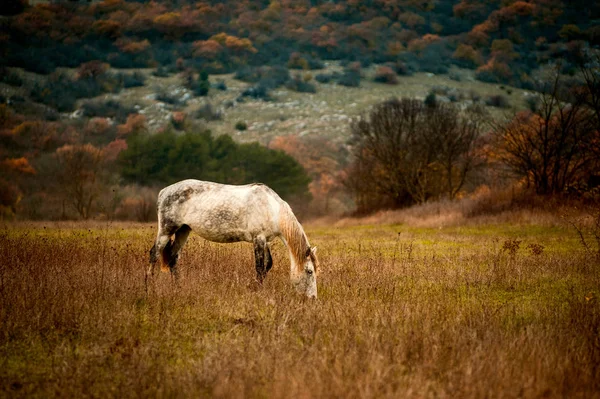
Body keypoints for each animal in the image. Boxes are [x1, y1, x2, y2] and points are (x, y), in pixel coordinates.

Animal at [148, 180, 318, 298]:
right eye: (309, 271)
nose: (312, 298)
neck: (272, 208)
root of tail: (163, 192)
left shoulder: (266, 241)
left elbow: (268, 265)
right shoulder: (258, 239)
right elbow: (259, 267)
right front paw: (257, 290)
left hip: (183, 230)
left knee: (172, 258)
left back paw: (178, 287)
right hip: (166, 230)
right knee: (154, 254)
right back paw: (149, 286)